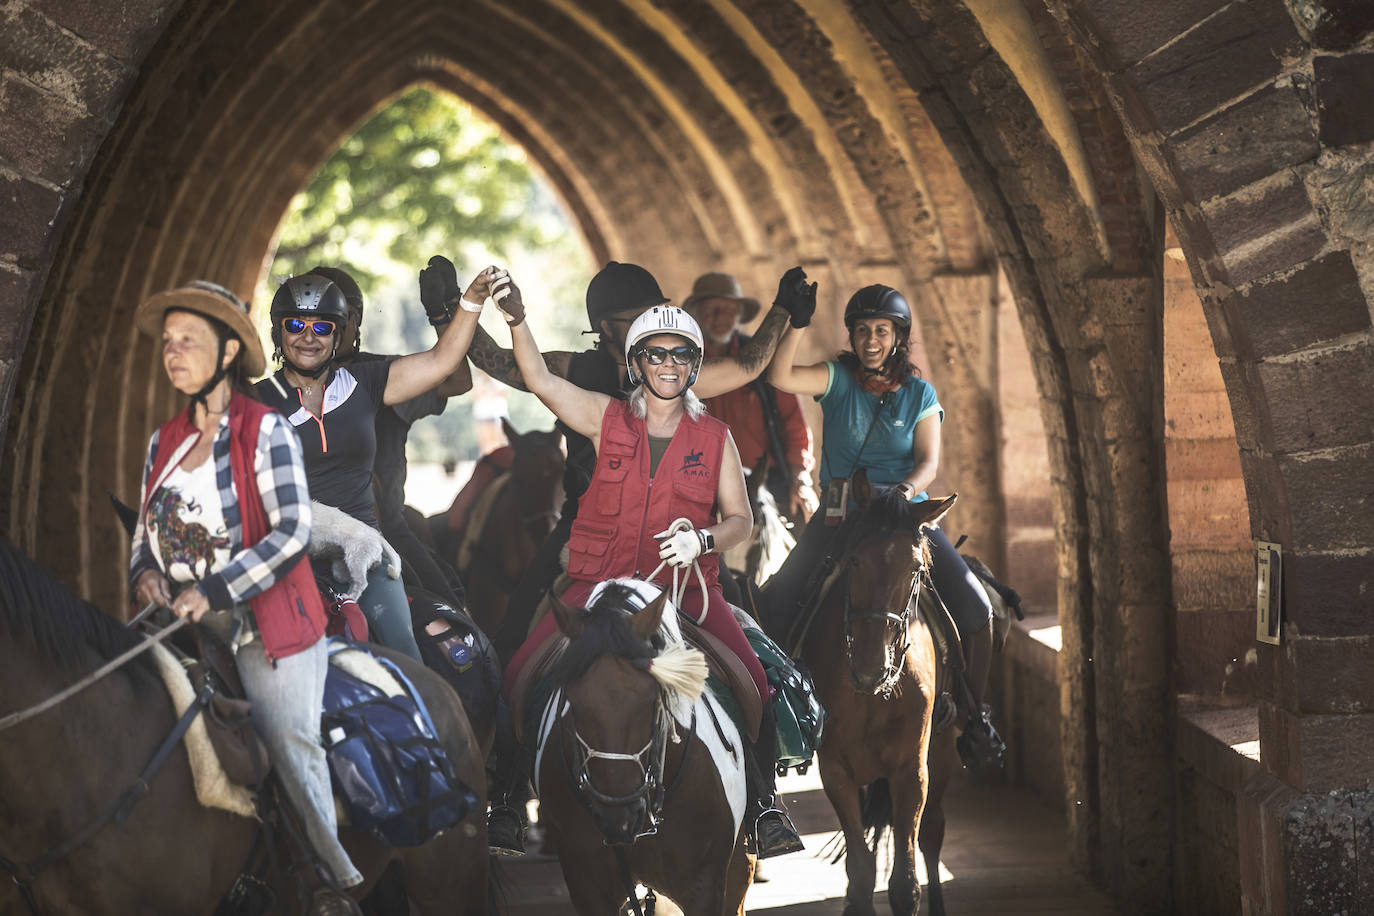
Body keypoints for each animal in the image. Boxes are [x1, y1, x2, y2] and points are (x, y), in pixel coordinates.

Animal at [763, 472, 956, 916]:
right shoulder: (837, 771)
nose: (872, 667)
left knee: (932, 834)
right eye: (853, 560)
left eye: (916, 568)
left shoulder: (911, 770)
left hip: (943, 750)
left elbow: (905, 880)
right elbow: (862, 870)